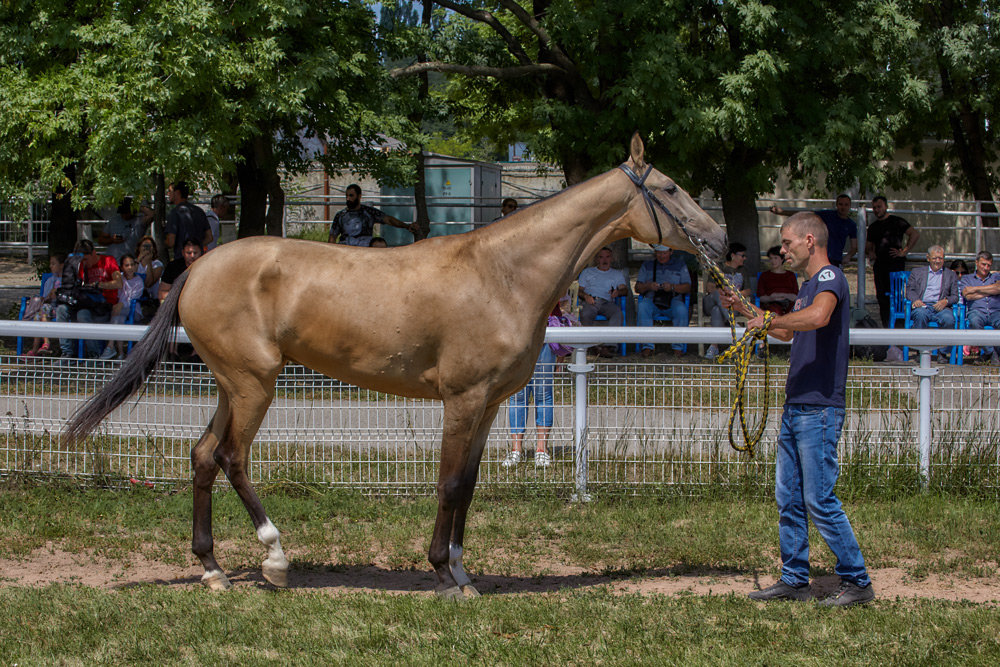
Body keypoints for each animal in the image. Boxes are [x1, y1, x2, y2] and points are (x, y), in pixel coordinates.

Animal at [68, 136, 728, 600]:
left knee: (204, 456)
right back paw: (275, 558)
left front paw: (462, 569)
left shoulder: (491, 404)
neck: (504, 273)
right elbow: (449, 484)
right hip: (253, 385)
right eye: (670, 188)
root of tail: (197, 267)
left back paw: (212, 569)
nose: (719, 240)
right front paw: (443, 574)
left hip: (233, 384)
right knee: (232, 457)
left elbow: (468, 484)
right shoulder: (463, 399)